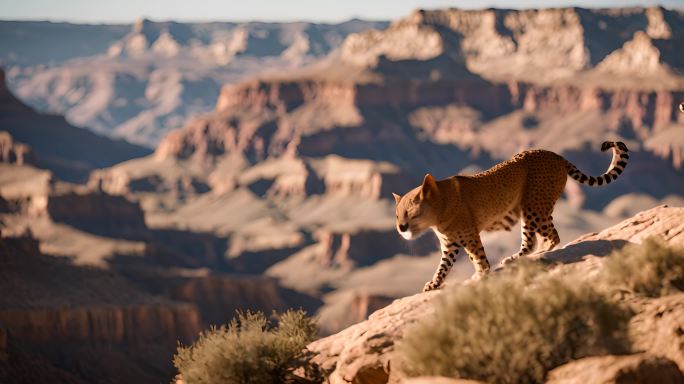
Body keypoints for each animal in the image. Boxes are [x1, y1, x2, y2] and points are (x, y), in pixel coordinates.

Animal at [392, 141, 628, 292]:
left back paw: (524, 256)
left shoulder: (470, 237)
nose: (401, 228)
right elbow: (443, 267)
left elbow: (478, 258)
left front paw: (482, 275)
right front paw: (434, 284)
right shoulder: (450, 244)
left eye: (410, 213)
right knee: (544, 237)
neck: (440, 208)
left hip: (533, 206)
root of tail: (555, 154)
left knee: (541, 239)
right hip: (533, 208)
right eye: (396, 215)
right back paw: (531, 254)